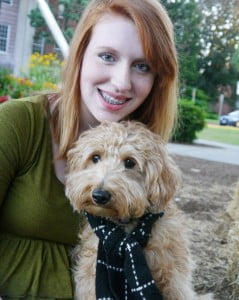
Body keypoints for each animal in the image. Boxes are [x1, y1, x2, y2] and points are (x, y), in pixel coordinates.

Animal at [66, 120, 213, 298]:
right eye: (95, 157)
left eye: (130, 162)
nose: (100, 195)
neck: (127, 233)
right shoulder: (90, 278)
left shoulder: (174, 280)